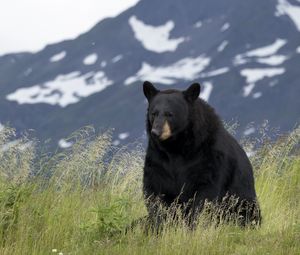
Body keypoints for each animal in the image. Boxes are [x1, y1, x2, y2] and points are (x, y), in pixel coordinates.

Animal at [142, 80, 262, 228]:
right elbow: (154, 189)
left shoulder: (208, 156)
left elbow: (205, 193)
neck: (176, 147)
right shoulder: (158, 159)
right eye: (154, 113)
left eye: (169, 114)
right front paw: (159, 224)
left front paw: (193, 225)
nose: (156, 132)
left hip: (244, 200)